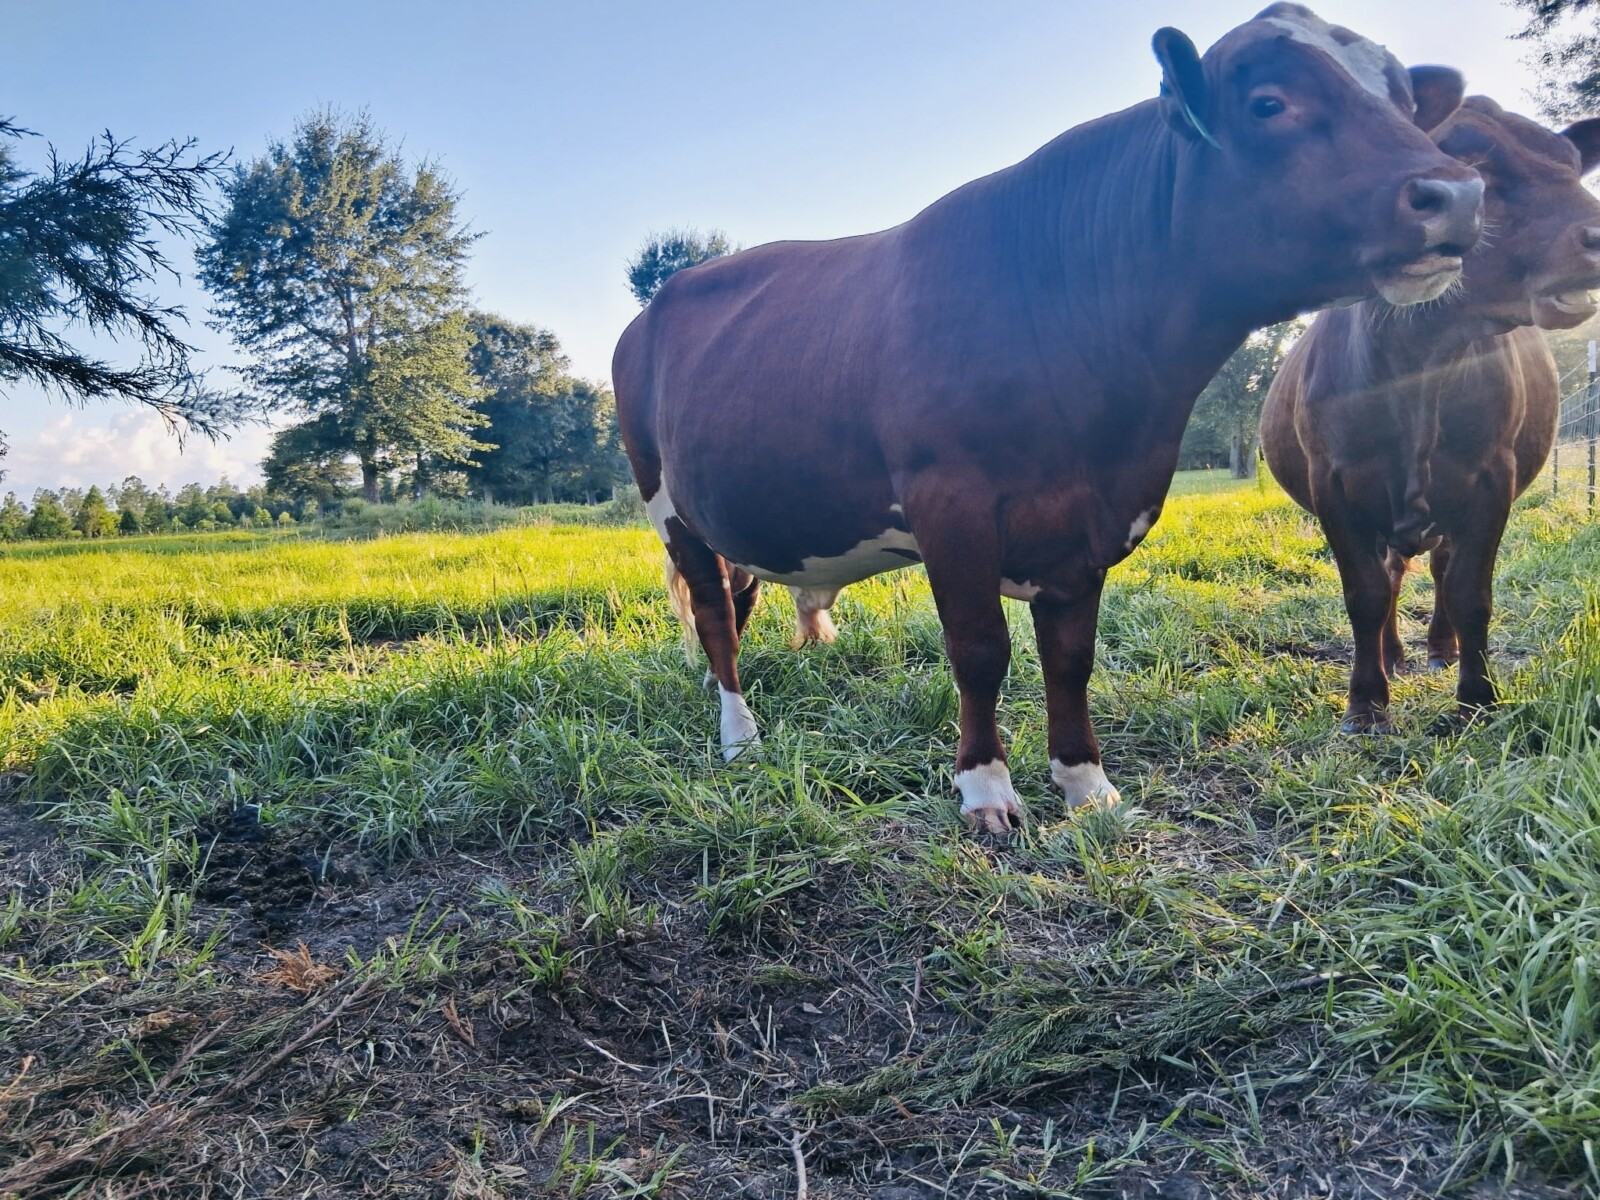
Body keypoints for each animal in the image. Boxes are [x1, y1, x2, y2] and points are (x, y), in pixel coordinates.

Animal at [614, 4, 1483, 834]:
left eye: (1408, 106)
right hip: (666, 503)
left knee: (736, 601)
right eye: (1269, 103)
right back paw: (739, 736)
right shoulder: (950, 503)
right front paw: (984, 787)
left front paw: (1086, 783)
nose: (1457, 194)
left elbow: (1070, 657)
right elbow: (980, 651)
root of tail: (656, 305)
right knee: (714, 614)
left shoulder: (1090, 523)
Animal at [1260, 98, 1600, 735]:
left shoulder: (1491, 476)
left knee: (1440, 569)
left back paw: (1442, 649)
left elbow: (1469, 591)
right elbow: (1365, 594)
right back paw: (1393, 654)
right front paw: (1367, 702)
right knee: (1393, 574)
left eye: (1572, 166)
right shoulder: (1332, 483)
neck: (1423, 356)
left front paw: (1477, 697)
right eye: (1474, 165)